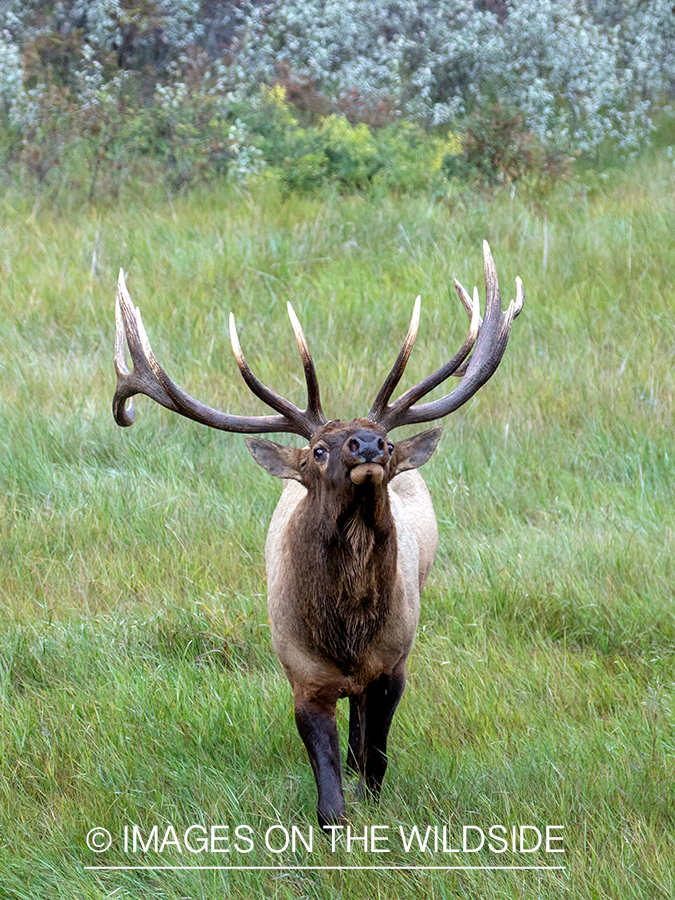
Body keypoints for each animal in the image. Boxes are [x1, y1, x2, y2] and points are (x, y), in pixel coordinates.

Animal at [111, 241, 524, 828]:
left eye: (388, 446)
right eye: (319, 450)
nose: (367, 444)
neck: (345, 635)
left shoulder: (394, 660)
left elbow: (377, 758)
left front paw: (369, 796)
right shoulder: (300, 673)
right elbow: (328, 797)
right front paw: (336, 817)